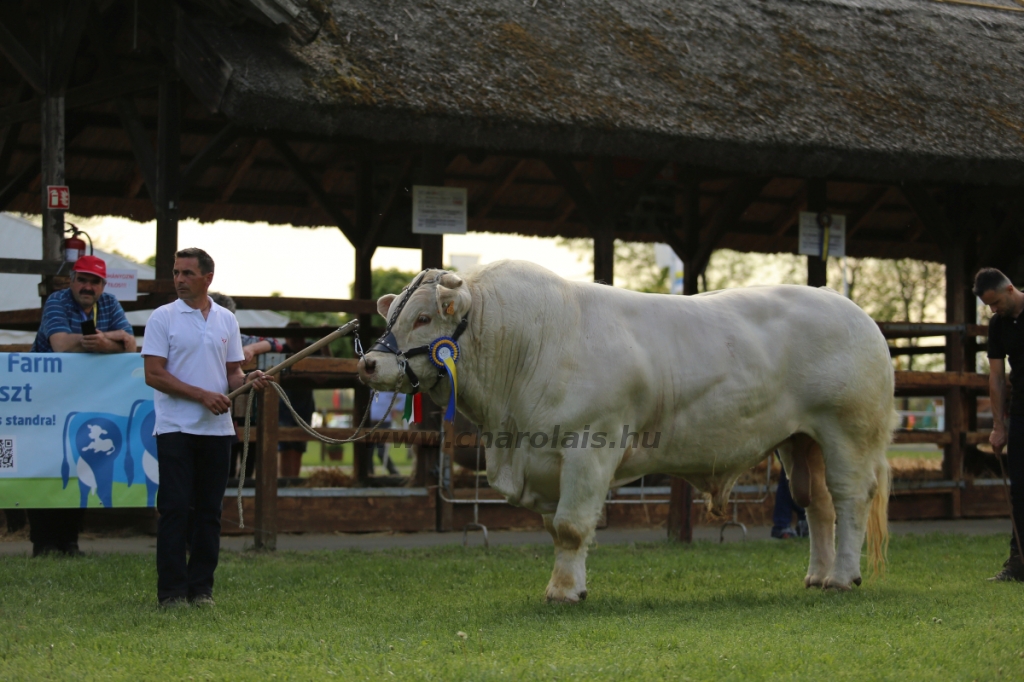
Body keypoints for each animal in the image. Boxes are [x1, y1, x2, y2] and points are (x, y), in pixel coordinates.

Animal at [360, 260, 897, 602]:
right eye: (392, 316)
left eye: (423, 317)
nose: (368, 364)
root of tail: (854, 312)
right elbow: (555, 527)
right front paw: (567, 583)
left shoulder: (590, 446)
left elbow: (572, 526)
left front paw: (564, 591)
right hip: (800, 441)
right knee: (818, 504)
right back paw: (818, 576)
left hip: (848, 432)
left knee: (849, 499)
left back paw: (844, 577)